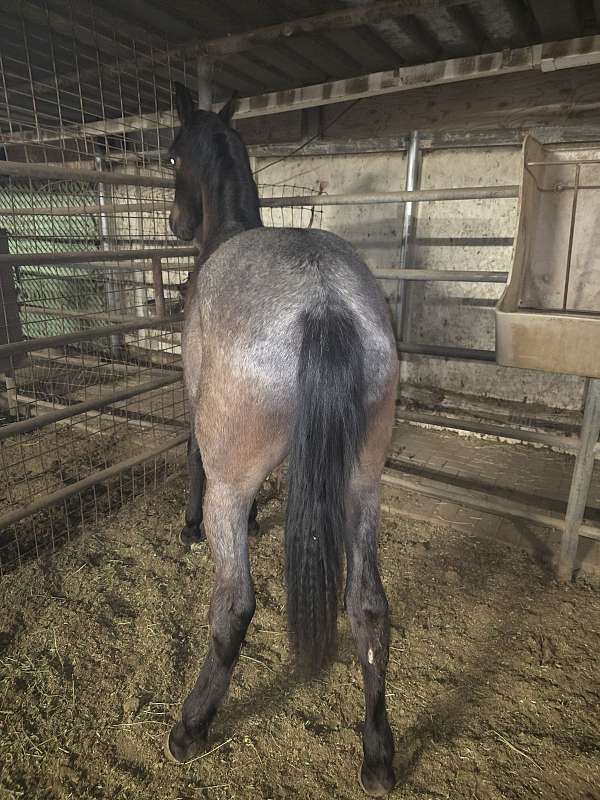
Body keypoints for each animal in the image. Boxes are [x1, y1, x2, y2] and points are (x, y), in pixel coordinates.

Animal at [165, 82, 399, 797]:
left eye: (170, 156)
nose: (176, 225)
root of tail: (323, 301)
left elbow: (191, 456)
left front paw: (187, 526)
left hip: (234, 486)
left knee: (235, 605)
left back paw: (190, 727)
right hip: (362, 486)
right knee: (368, 609)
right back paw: (378, 755)